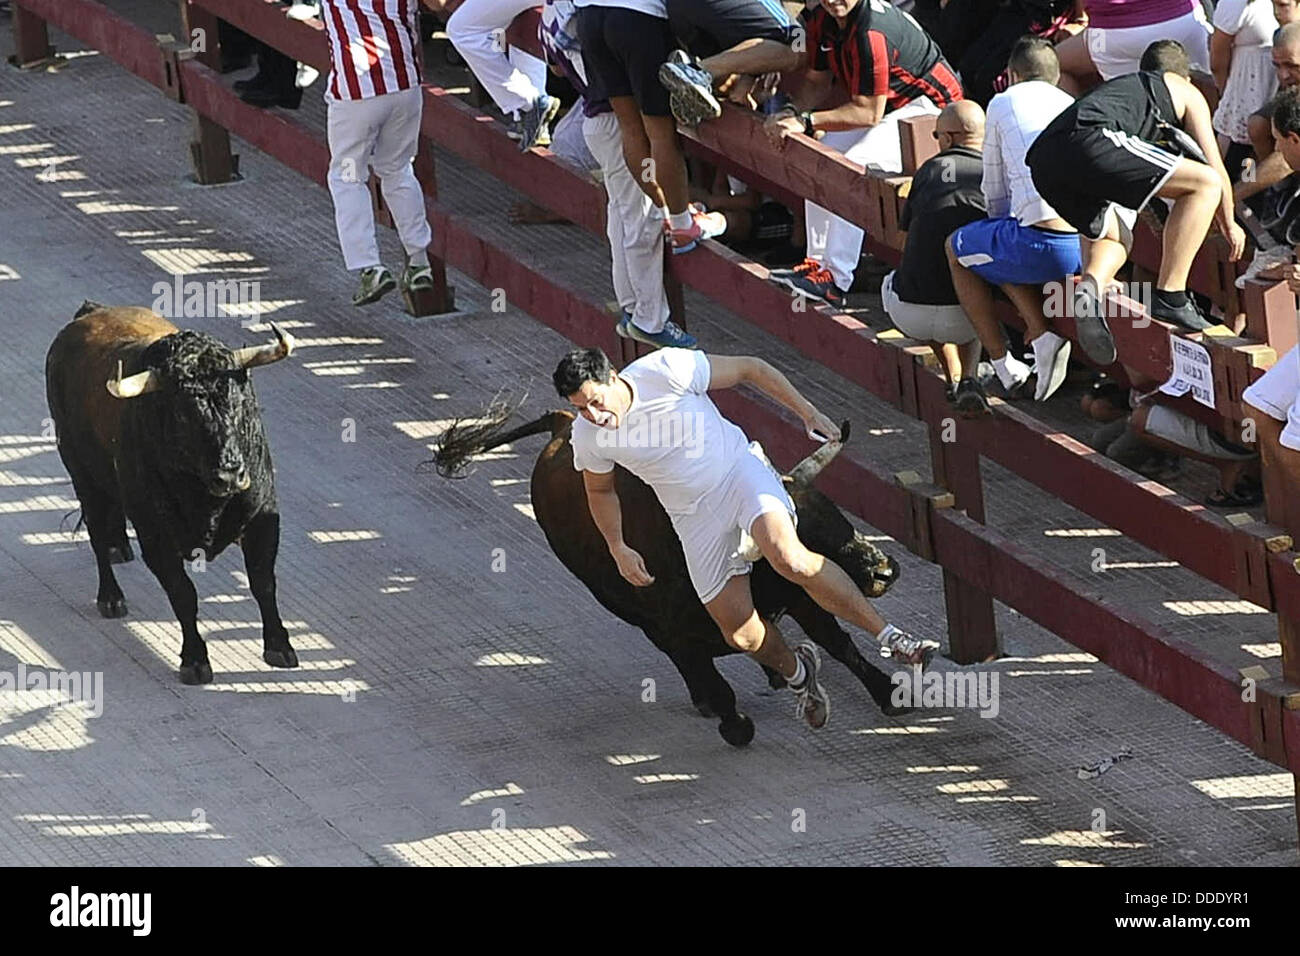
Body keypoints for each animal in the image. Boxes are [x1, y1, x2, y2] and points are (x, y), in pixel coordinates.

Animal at [44, 303, 297, 686]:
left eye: (239, 399)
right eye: (184, 411)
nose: (231, 474)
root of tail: (91, 311)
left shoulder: (262, 518)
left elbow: (263, 582)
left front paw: (280, 647)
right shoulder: (156, 537)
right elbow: (183, 594)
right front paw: (195, 661)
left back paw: (120, 547)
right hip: (80, 471)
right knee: (97, 532)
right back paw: (111, 596)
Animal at [436, 408, 904, 743]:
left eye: (838, 514)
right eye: (801, 531)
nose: (883, 569)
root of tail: (563, 424)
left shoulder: (801, 597)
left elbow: (842, 645)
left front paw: (890, 694)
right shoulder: (678, 635)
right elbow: (717, 684)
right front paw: (734, 724)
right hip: (624, 606)